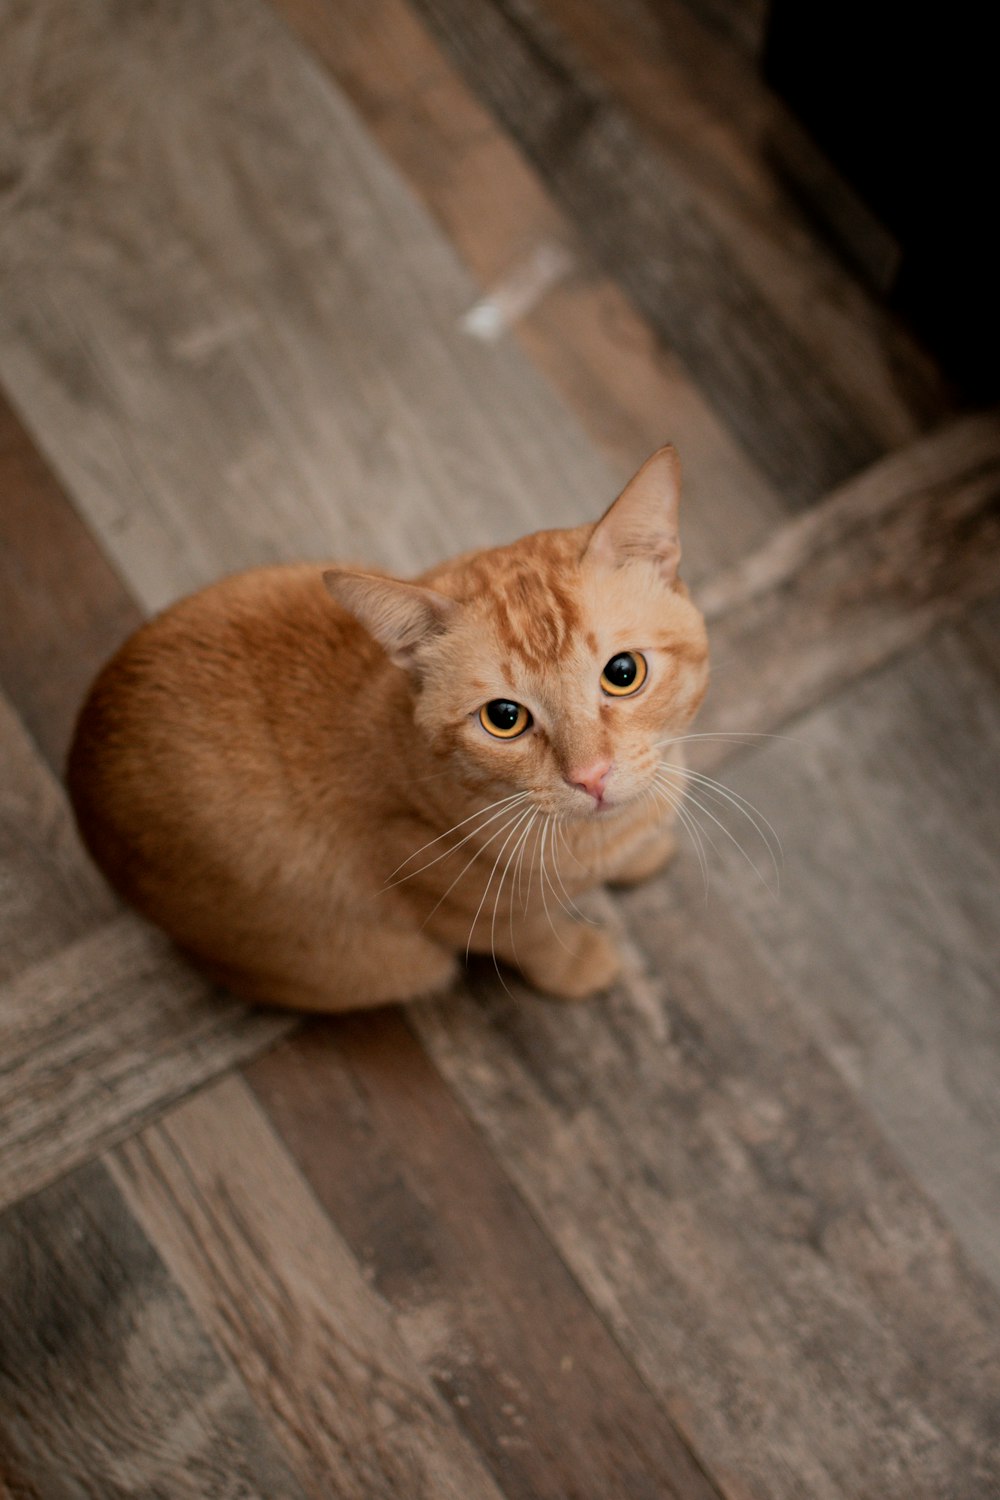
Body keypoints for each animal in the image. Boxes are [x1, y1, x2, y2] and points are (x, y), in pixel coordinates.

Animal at [70, 444, 707, 1008]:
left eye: (623, 673)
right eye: (504, 719)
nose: (592, 776)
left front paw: (644, 853)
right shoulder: (451, 905)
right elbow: (532, 938)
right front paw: (578, 963)